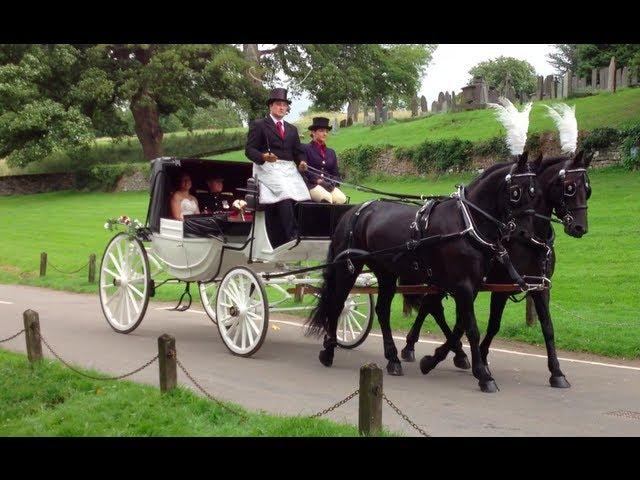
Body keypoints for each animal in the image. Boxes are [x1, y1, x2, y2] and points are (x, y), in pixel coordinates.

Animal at [308, 156, 544, 392]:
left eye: (535, 193)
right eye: (515, 191)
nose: (525, 234)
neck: (467, 223)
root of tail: (355, 210)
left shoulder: (470, 287)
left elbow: (459, 325)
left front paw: (432, 361)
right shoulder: (463, 287)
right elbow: (471, 329)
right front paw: (483, 375)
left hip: (386, 273)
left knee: (382, 310)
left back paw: (392, 359)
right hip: (348, 269)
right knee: (337, 304)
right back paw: (328, 351)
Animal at [402, 152, 592, 388]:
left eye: (588, 188)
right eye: (570, 187)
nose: (580, 227)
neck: (529, 240)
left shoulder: (539, 287)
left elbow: (547, 327)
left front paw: (556, 372)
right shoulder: (498, 288)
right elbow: (490, 324)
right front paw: (477, 361)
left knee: (432, 306)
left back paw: (447, 352)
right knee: (433, 307)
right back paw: (414, 348)